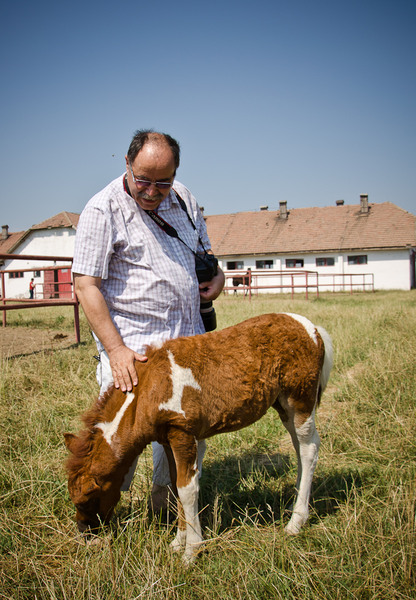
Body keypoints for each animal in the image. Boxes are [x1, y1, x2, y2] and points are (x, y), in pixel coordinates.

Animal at [64, 313, 333, 565]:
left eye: (87, 498)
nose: (86, 534)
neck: (149, 390)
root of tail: (313, 329)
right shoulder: (167, 439)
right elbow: (176, 486)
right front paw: (178, 542)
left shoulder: (183, 433)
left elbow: (187, 489)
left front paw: (191, 551)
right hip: (284, 406)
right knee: (299, 449)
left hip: (301, 399)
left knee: (309, 450)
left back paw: (296, 521)